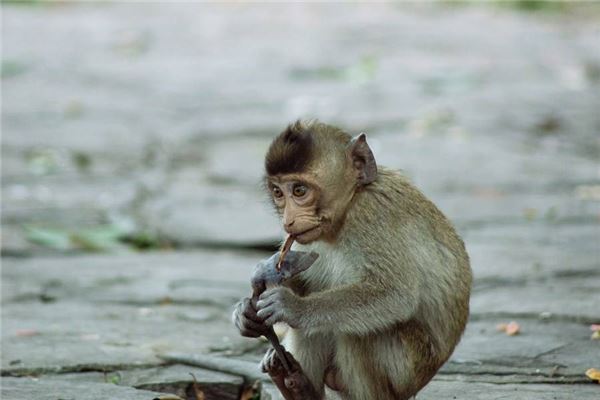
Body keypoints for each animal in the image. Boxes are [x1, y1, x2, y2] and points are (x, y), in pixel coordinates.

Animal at [232, 121, 472, 400]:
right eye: (278, 192)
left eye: (299, 191)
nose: (288, 221)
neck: (347, 209)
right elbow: (300, 279)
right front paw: (246, 310)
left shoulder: (372, 213)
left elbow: (395, 294)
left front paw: (293, 307)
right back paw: (298, 386)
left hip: (406, 370)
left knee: (359, 331)